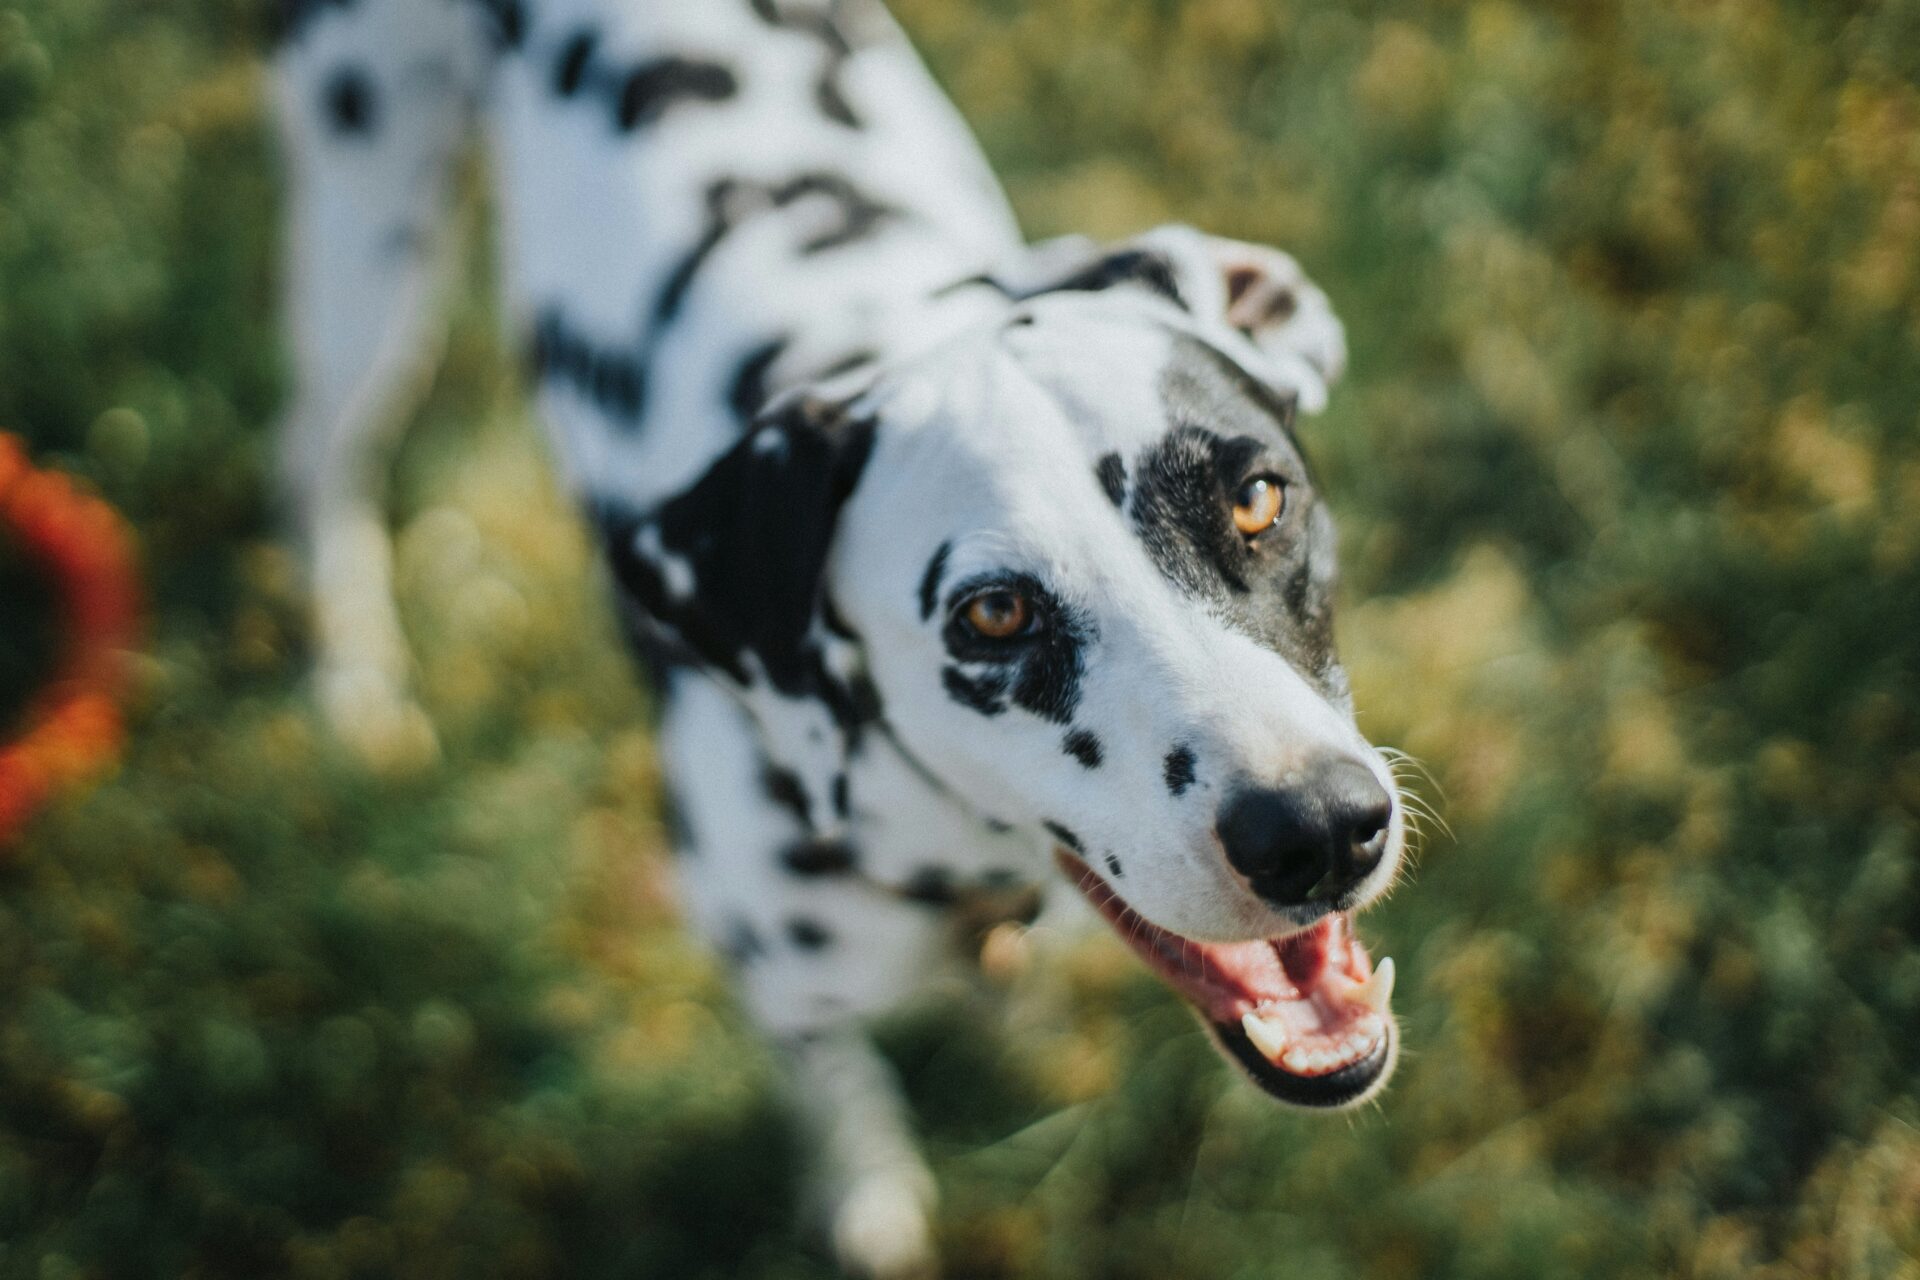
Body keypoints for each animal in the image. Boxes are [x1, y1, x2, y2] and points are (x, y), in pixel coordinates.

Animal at [274, 5, 1413, 1274]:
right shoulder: (780, 982)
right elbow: (834, 1088)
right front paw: (866, 1187)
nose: (1316, 828)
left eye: (1258, 497)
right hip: (367, 239)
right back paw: (355, 677)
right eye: (994, 613)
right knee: (319, 459)